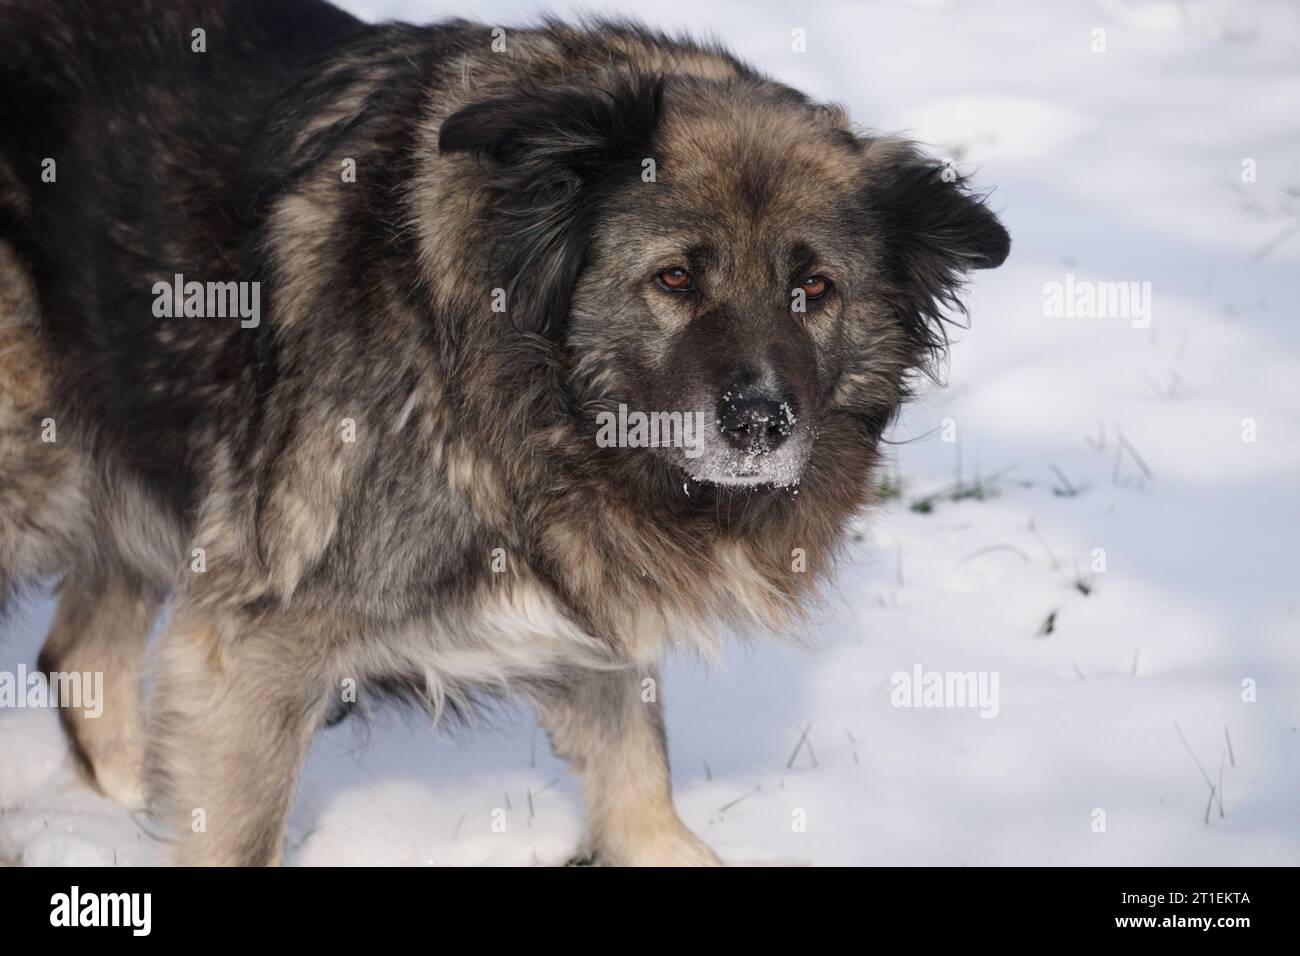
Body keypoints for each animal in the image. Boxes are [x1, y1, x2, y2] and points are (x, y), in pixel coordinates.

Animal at [0, 0, 1008, 868]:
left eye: (815, 289)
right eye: (676, 279)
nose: (761, 423)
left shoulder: (590, 611)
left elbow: (639, 777)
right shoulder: (253, 647)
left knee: (79, 654)